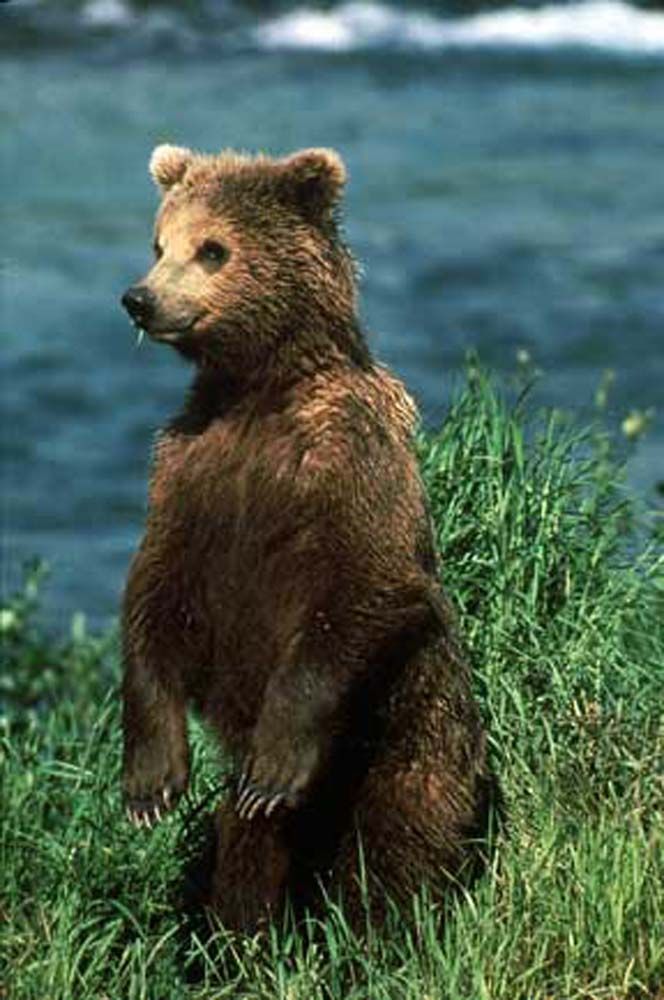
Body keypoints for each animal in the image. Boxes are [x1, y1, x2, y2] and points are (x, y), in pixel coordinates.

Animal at [120, 143, 494, 933]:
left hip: (412, 740)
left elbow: (359, 589)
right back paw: (238, 933)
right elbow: (156, 595)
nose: (139, 299)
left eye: (213, 249)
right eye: (159, 243)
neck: (259, 390)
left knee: (395, 841)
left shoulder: (347, 460)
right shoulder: (188, 472)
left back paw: (380, 928)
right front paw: (150, 785)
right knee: (246, 844)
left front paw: (274, 766)